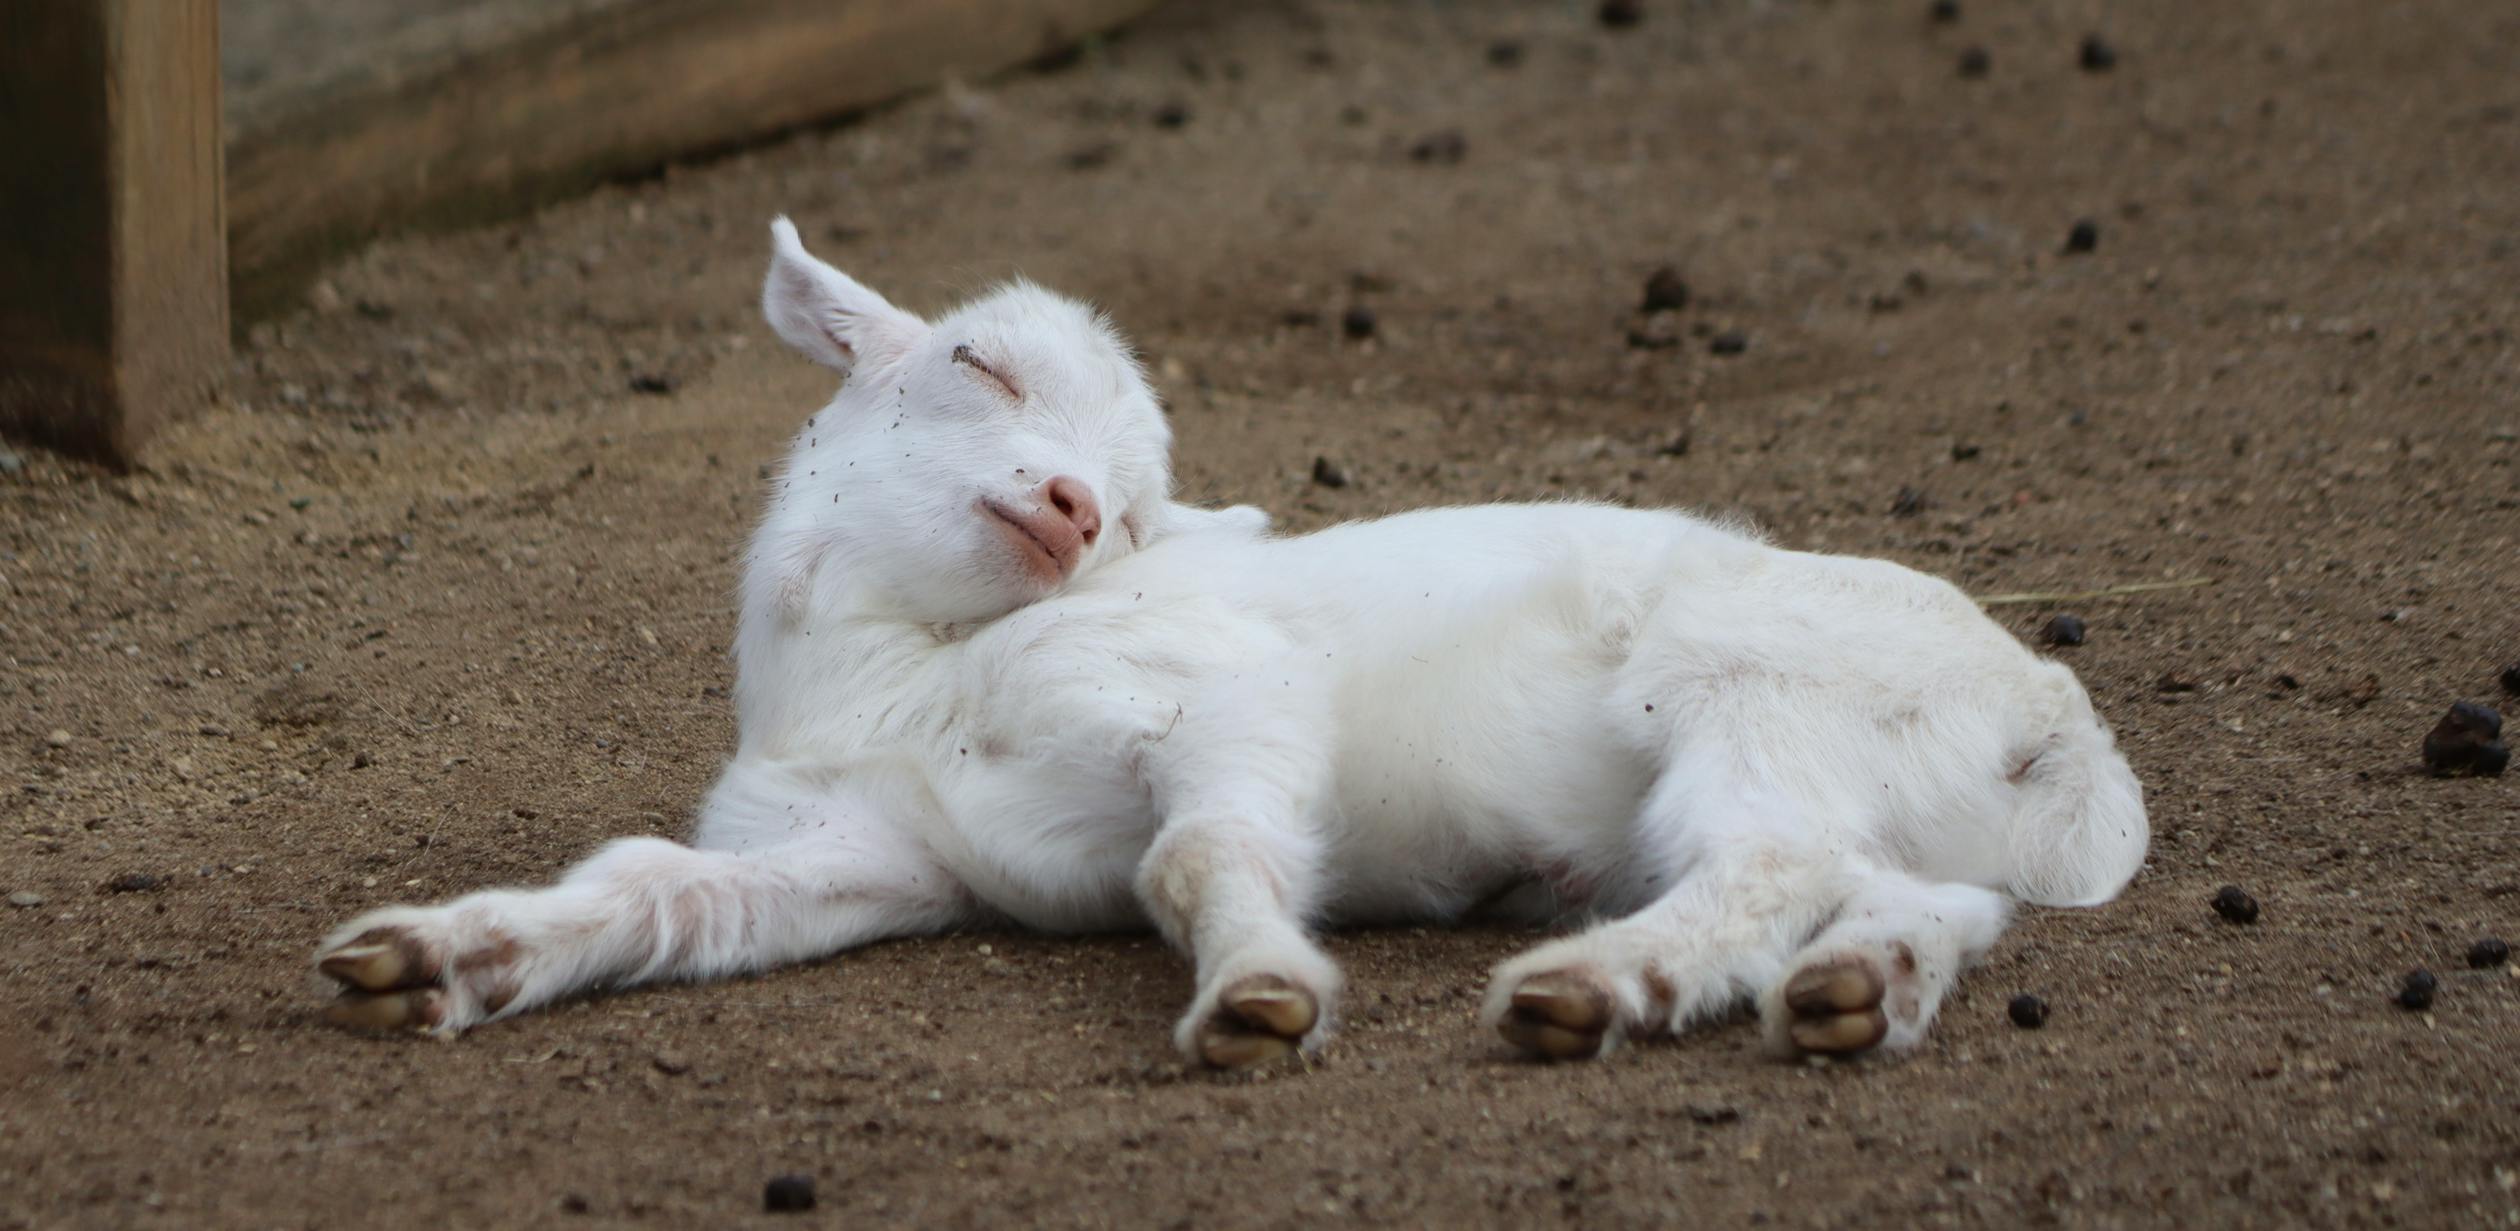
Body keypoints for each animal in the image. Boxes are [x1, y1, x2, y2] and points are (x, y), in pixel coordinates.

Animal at [313, 218, 2147, 1067]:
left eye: (1128, 513)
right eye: (976, 362)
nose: (1066, 504)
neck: (906, 678)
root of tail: (2058, 718)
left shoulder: (1215, 696)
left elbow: (1195, 853)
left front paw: (1264, 992)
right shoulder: (865, 851)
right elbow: (659, 891)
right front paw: (434, 957)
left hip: (1766, 695)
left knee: (1772, 855)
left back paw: (1592, 985)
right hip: (1898, 798)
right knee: (1923, 899)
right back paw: (1852, 989)